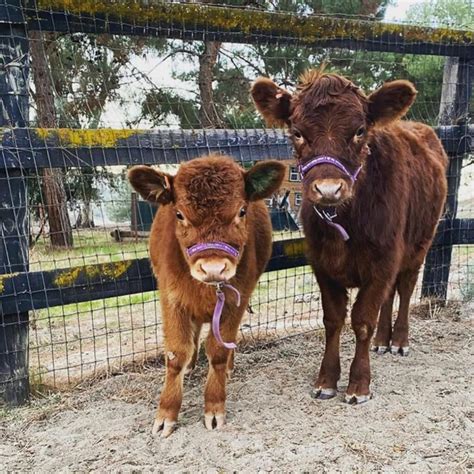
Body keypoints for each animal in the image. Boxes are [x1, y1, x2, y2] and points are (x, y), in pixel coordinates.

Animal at [128, 156, 284, 436]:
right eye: (179, 214)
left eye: (241, 211)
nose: (213, 268)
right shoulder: (171, 298)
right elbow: (176, 354)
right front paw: (166, 413)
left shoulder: (236, 300)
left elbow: (219, 350)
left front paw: (214, 405)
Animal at [252, 70, 448, 404]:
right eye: (297, 132)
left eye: (359, 130)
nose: (329, 190)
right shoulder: (322, 264)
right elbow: (333, 320)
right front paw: (326, 380)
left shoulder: (383, 260)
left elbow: (362, 320)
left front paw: (359, 383)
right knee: (390, 295)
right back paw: (383, 341)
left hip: (419, 244)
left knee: (406, 288)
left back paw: (399, 341)